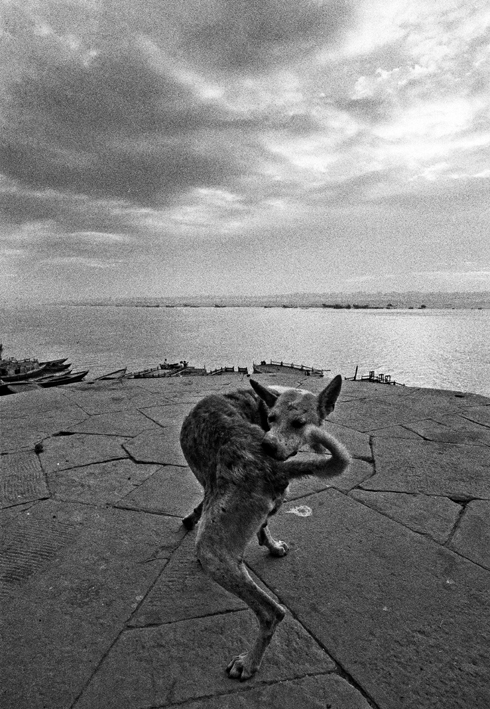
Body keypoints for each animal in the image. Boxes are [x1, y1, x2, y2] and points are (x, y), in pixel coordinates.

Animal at [178, 376, 350, 680]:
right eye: (271, 419)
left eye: (299, 423)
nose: (269, 445)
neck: (256, 402)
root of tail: (266, 463)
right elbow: (265, 523)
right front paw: (271, 544)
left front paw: (191, 517)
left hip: (212, 551)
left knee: (272, 613)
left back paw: (248, 662)